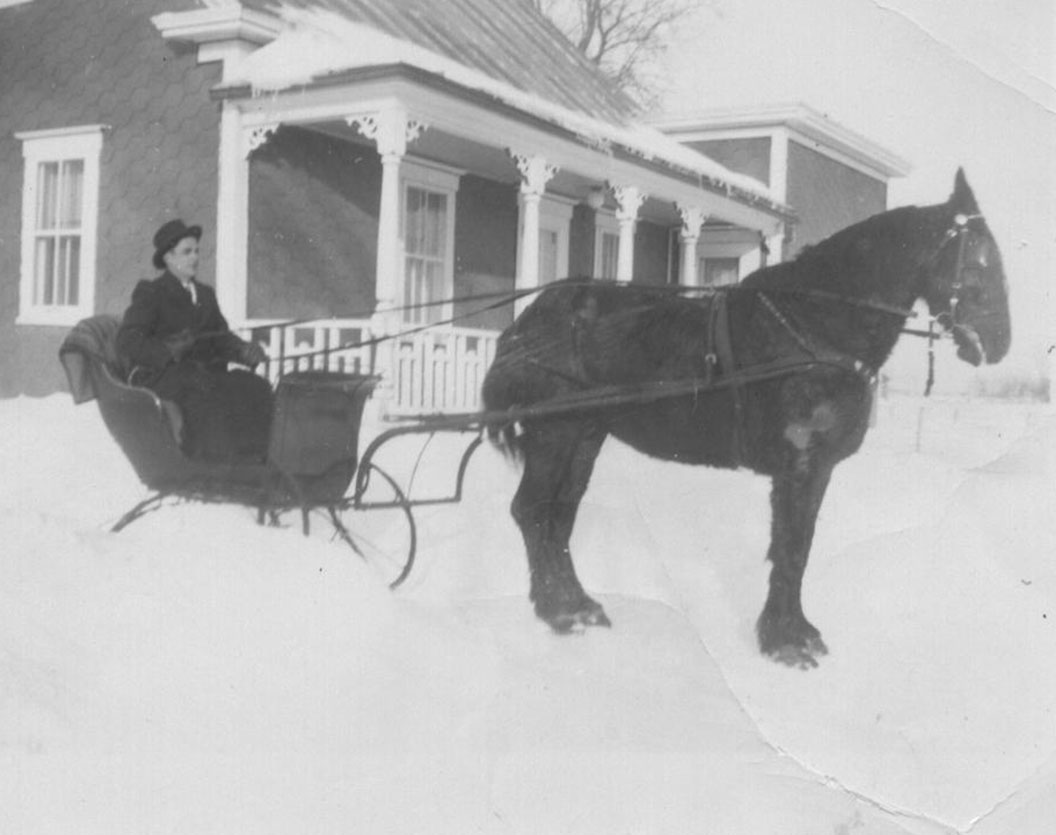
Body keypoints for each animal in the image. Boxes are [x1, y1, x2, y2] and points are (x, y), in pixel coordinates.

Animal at [483, 169, 1009, 667]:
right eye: (978, 260)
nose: (999, 342)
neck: (814, 326)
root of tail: (531, 318)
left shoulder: (817, 471)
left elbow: (799, 547)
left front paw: (796, 631)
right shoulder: (799, 467)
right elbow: (791, 548)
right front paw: (785, 642)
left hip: (585, 436)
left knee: (559, 516)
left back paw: (577, 604)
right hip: (555, 434)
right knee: (532, 512)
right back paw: (558, 612)